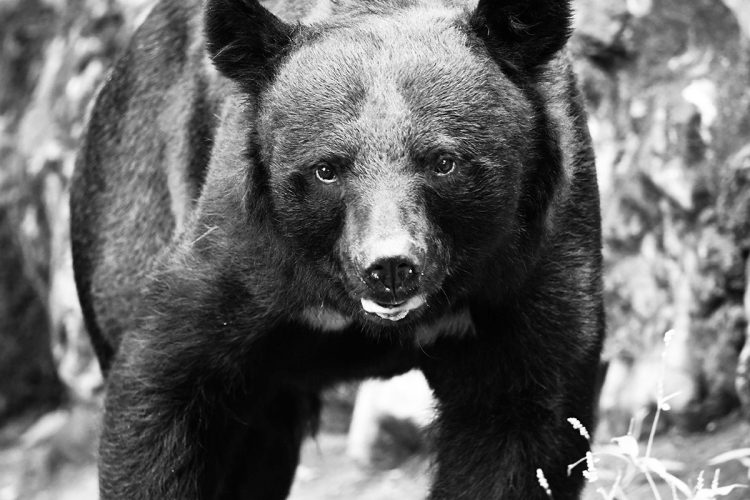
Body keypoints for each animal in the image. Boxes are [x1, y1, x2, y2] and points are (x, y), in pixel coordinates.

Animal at [70, 0, 604, 498]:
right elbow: (163, 373)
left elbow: (523, 424)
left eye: (443, 162)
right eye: (326, 170)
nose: (390, 269)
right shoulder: (241, 250)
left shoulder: (534, 259)